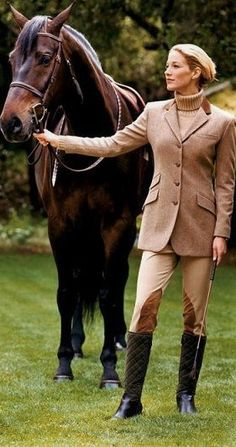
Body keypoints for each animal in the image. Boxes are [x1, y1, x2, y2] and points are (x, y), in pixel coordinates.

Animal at [0, 3, 150, 388]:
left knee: (115, 280)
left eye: (44, 57)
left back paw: (118, 339)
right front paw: (64, 363)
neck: (91, 139)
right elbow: (67, 292)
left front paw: (110, 368)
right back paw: (80, 344)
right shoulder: (61, 223)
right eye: (12, 58)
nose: (11, 122)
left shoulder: (118, 224)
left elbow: (109, 292)